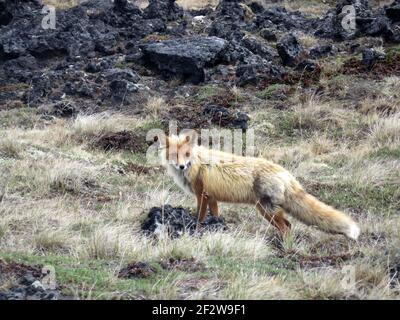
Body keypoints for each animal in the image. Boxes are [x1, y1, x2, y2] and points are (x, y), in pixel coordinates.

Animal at [158, 131, 360, 240]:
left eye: (186, 154)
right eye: (174, 155)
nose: (182, 166)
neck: (197, 163)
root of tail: (286, 173)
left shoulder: (202, 194)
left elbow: (200, 216)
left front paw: (197, 229)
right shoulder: (212, 197)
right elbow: (215, 215)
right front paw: (217, 226)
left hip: (267, 210)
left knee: (286, 228)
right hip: (267, 211)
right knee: (289, 225)